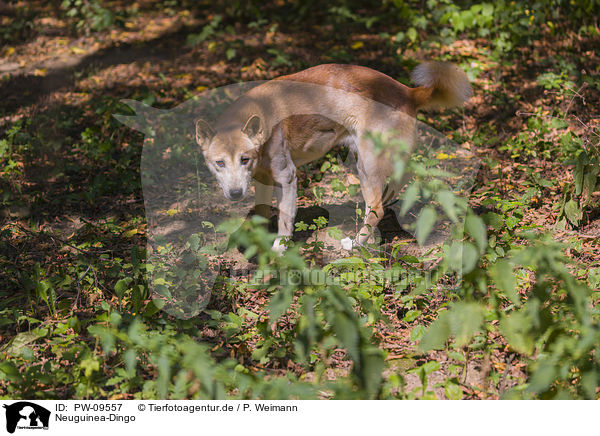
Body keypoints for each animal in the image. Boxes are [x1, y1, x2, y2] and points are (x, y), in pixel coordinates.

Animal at [197, 61, 474, 252]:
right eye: (219, 163)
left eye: (244, 159)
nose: (235, 194)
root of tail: (407, 91)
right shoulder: (263, 179)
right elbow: (260, 213)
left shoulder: (287, 177)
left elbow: (285, 220)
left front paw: (279, 249)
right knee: (397, 183)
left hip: (366, 164)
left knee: (376, 208)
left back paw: (356, 243)